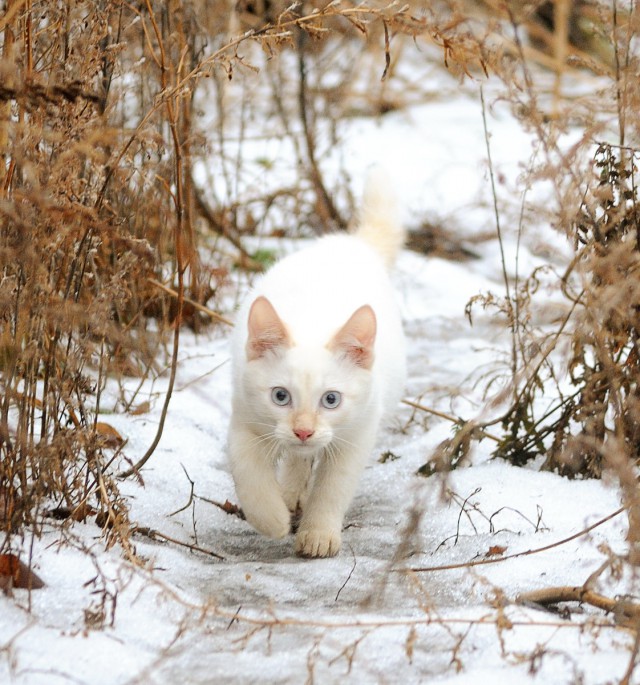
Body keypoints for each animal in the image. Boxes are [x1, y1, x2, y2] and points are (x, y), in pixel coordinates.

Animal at [229, 172, 404, 556]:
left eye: (331, 399)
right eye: (280, 396)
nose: (304, 431)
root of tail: (352, 243)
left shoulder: (359, 430)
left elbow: (333, 486)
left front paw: (319, 532)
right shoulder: (245, 411)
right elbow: (248, 470)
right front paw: (271, 518)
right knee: (296, 459)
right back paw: (290, 493)